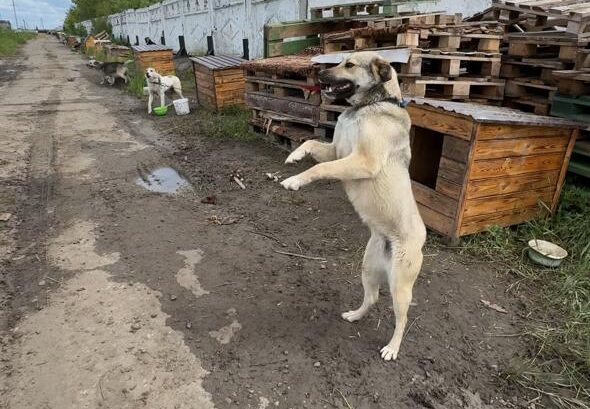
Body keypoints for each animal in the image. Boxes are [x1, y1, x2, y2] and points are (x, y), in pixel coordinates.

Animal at [282, 51, 426, 360]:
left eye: (349, 65)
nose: (318, 73)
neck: (370, 105)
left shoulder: (362, 161)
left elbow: (321, 169)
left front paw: (295, 181)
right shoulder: (336, 151)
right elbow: (311, 141)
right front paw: (294, 156)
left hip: (400, 287)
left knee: (402, 319)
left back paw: (392, 348)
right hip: (367, 269)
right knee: (372, 297)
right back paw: (355, 315)